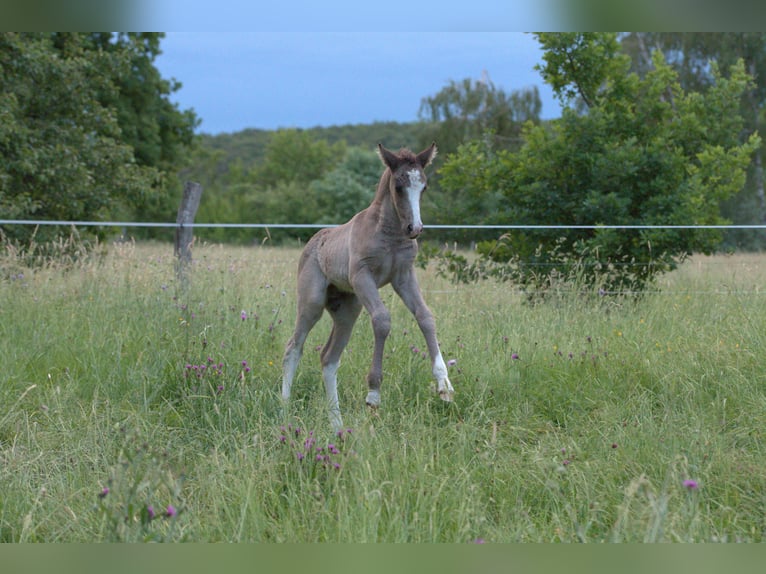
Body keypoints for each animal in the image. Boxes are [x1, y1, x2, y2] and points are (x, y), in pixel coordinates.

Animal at [281, 142, 454, 429]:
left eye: (424, 186)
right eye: (399, 186)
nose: (415, 228)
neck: (389, 233)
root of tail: (313, 241)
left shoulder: (404, 276)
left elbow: (425, 316)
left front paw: (444, 384)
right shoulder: (362, 276)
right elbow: (382, 320)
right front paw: (373, 394)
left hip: (348, 309)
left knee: (329, 358)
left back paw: (337, 425)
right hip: (312, 303)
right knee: (293, 348)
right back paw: (283, 408)